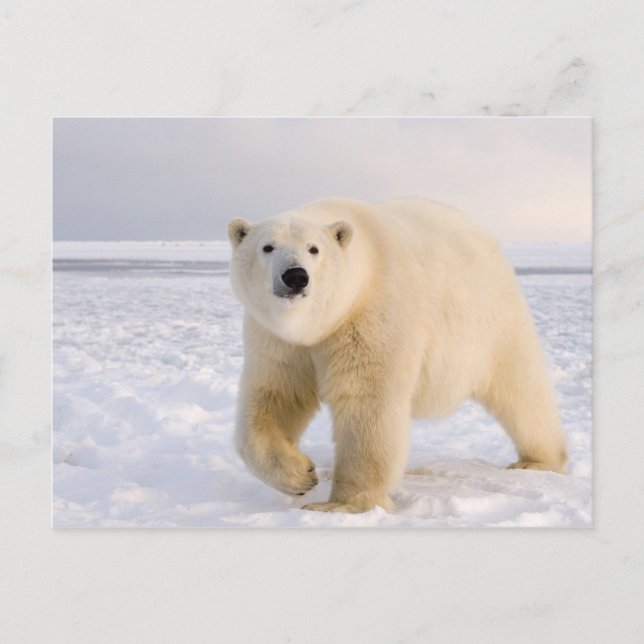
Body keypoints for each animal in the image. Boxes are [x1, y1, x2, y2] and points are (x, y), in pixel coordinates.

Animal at [227, 197, 567, 514]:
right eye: (267, 247)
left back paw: (538, 460)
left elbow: (366, 403)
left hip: (493, 321)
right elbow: (276, 396)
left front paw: (341, 504)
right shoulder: (277, 339)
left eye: (314, 249)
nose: (296, 276)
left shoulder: (373, 317)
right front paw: (301, 475)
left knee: (520, 389)